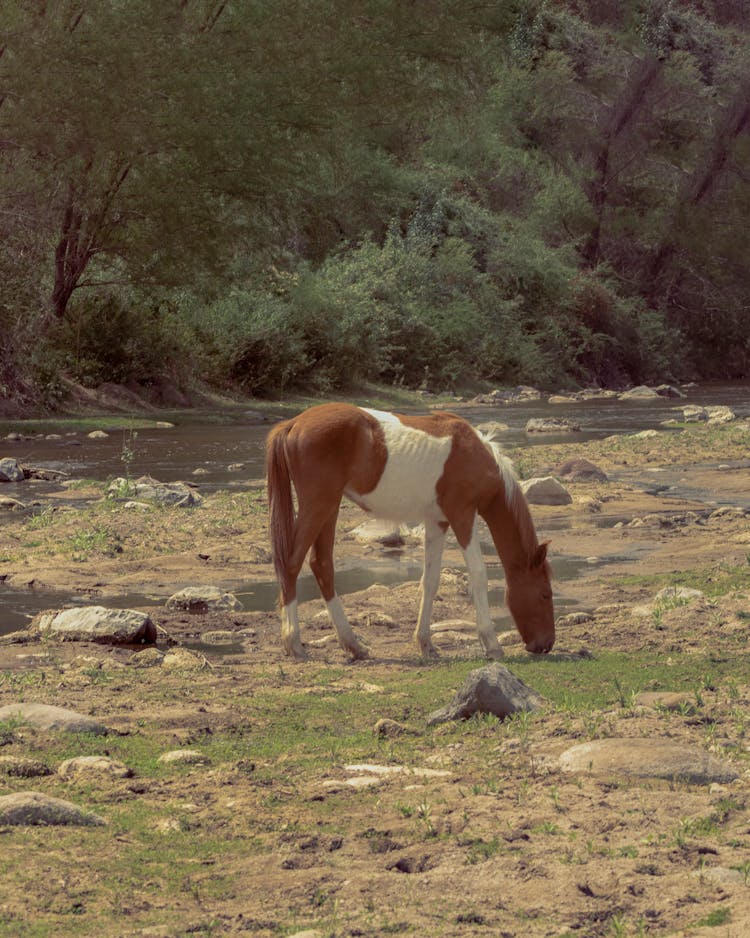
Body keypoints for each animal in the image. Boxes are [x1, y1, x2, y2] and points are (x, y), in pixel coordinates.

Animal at [268, 402, 556, 660]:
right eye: (545, 594)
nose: (546, 645)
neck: (475, 454)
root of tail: (293, 424)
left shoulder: (438, 521)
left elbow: (430, 580)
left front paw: (426, 644)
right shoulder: (463, 516)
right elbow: (478, 574)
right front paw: (491, 644)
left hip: (329, 507)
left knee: (322, 565)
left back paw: (353, 645)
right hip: (319, 505)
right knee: (292, 563)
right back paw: (294, 643)